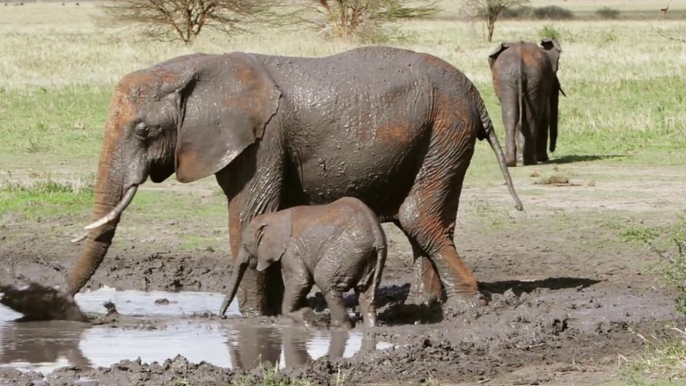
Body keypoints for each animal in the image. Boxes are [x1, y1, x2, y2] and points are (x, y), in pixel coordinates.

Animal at [223, 199, 390, 328]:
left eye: (245, 245)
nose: (222, 316)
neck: (273, 217)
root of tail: (376, 234)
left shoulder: (290, 249)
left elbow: (300, 280)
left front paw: (299, 315)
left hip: (345, 251)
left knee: (326, 282)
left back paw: (337, 327)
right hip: (369, 258)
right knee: (366, 292)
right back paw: (368, 327)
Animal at [492, 37, 568, 167]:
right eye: (555, 73)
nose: (553, 150)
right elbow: (545, 116)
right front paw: (543, 158)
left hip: (513, 80)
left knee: (511, 117)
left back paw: (512, 162)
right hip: (530, 79)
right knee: (532, 118)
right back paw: (530, 161)